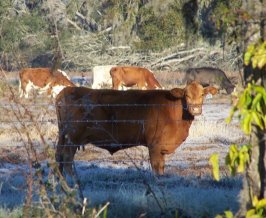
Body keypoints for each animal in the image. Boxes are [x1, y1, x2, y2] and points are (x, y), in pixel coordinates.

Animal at [55, 81, 217, 176]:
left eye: (202, 94)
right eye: (186, 95)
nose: (195, 109)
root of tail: (66, 91)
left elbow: (162, 168)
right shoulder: (154, 145)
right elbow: (156, 167)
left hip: (63, 136)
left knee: (59, 156)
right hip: (73, 137)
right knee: (67, 158)